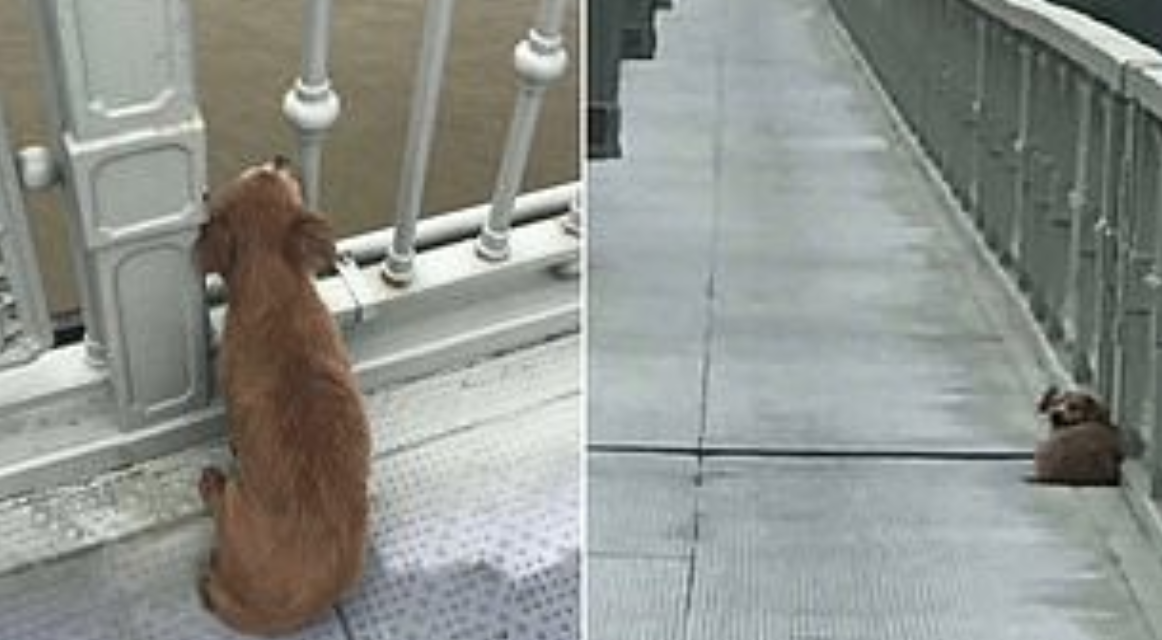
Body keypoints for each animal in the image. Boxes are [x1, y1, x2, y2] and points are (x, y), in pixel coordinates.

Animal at [192, 156, 369, 636]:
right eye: (283, 178)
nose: (280, 157)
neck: (274, 284)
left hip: (236, 502)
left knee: (220, 502)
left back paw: (211, 483)